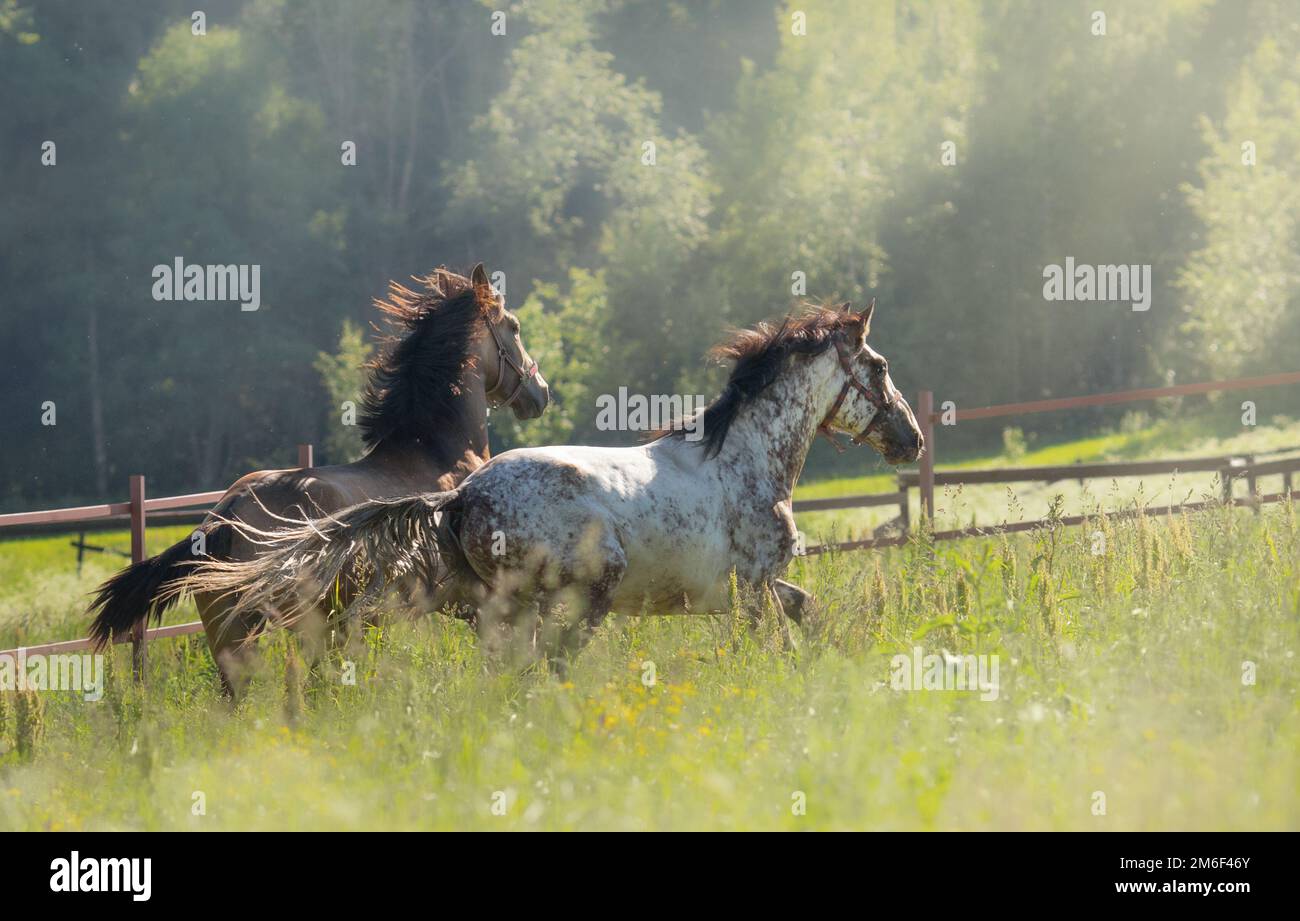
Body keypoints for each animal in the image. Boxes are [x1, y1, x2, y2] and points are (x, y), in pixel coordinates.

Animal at [88, 263, 550, 692]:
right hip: (300, 627)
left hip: (233, 636)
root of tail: (223, 518)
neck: (442, 455)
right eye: (514, 327)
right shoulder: (479, 600)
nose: (541, 394)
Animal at [178, 301, 921, 667]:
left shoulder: (750, 589)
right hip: (585, 587)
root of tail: (461, 495)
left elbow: (807, 613)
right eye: (882, 367)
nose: (911, 437)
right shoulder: (752, 586)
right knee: (550, 663)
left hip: (505, 605)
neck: (743, 458)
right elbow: (772, 637)